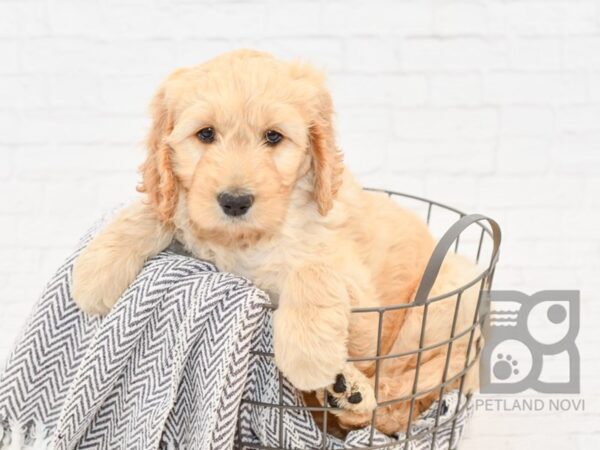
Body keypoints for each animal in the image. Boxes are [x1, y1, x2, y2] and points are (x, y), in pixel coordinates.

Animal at [72, 50, 480, 436]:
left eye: (273, 137)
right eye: (205, 134)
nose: (234, 201)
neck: (248, 239)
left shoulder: (365, 315)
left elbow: (312, 266)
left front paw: (309, 353)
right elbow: (159, 211)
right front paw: (95, 271)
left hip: (451, 292)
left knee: (409, 390)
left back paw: (352, 396)